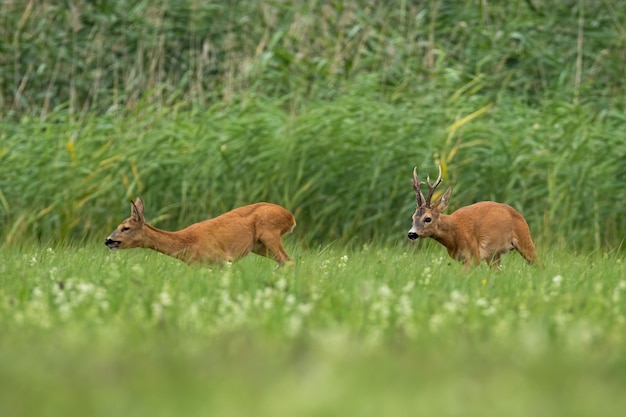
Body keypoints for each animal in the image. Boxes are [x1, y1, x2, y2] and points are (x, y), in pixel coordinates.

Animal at [105, 197, 294, 264]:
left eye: (125, 228)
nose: (108, 240)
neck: (186, 242)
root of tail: (291, 217)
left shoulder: (223, 259)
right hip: (259, 246)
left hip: (270, 233)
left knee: (288, 261)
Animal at [404, 166, 536, 266]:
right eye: (412, 218)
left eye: (428, 218)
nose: (411, 233)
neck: (453, 235)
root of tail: (519, 214)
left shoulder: (474, 255)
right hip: (494, 255)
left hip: (525, 240)